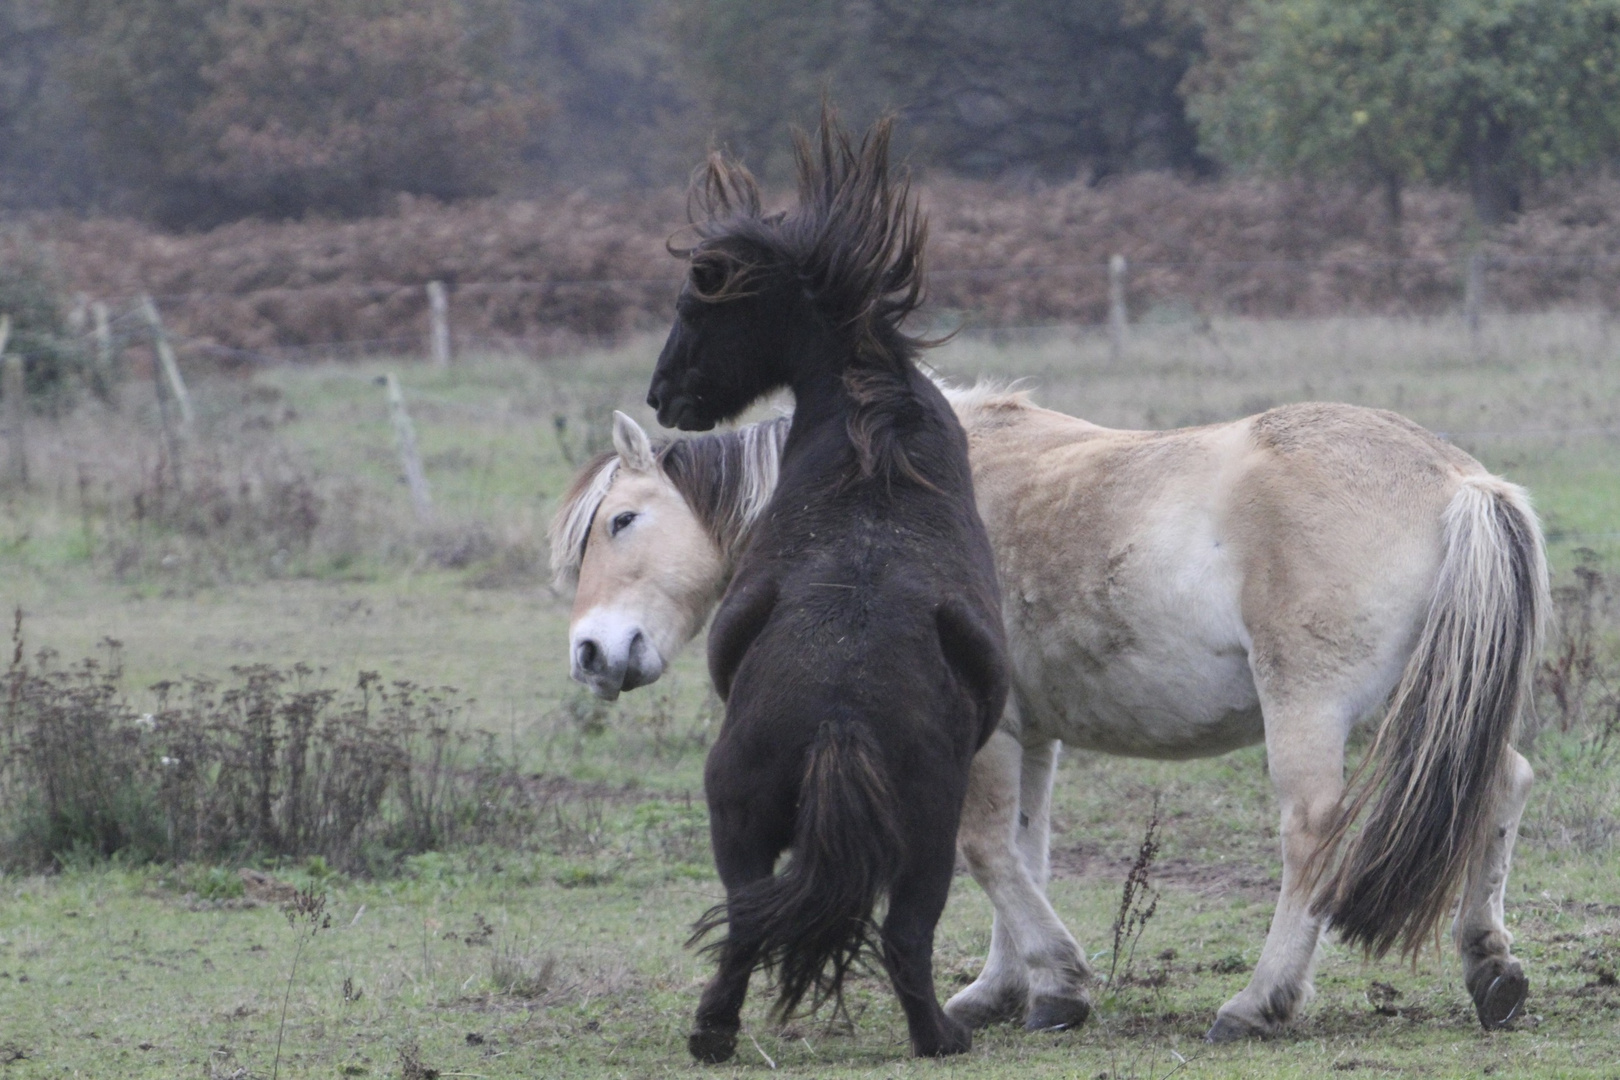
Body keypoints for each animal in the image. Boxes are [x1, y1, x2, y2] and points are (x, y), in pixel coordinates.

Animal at [554, 393, 1542, 1042]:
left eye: (623, 521)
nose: (591, 654)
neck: (881, 512)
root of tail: (1459, 481)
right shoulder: (1029, 736)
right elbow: (1023, 850)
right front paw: (1005, 992)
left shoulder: (980, 739)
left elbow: (984, 849)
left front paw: (1059, 984)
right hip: (1439, 706)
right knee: (1501, 788)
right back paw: (1490, 969)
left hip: (1312, 713)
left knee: (1312, 836)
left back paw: (1257, 1004)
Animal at [648, 114, 1010, 1062]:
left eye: (694, 307)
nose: (662, 396)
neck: (872, 436)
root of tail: (840, 715)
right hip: (925, 840)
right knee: (903, 934)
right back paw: (938, 1036)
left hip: (744, 822)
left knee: (750, 921)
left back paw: (716, 1033)